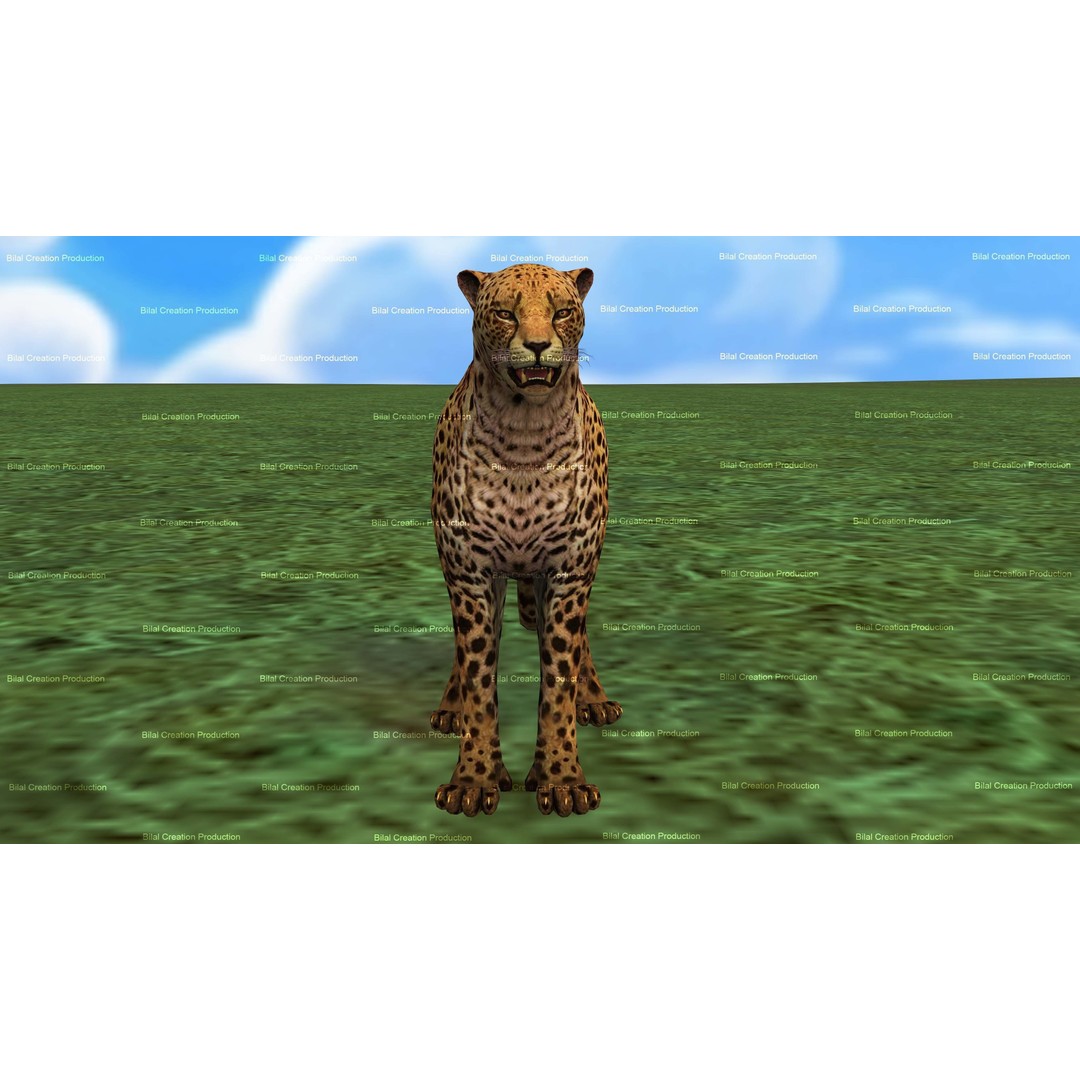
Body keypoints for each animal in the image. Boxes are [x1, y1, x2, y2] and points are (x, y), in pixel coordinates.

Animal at [429, 262, 621, 818]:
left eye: (561, 311)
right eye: (504, 314)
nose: (537, 346)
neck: (524, 437)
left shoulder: (569, 572)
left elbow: (558, 677)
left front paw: (562, 779)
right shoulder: (469, 574)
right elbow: (478, 674)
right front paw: (474, 779)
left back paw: (595, 699)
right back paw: (449, 708)